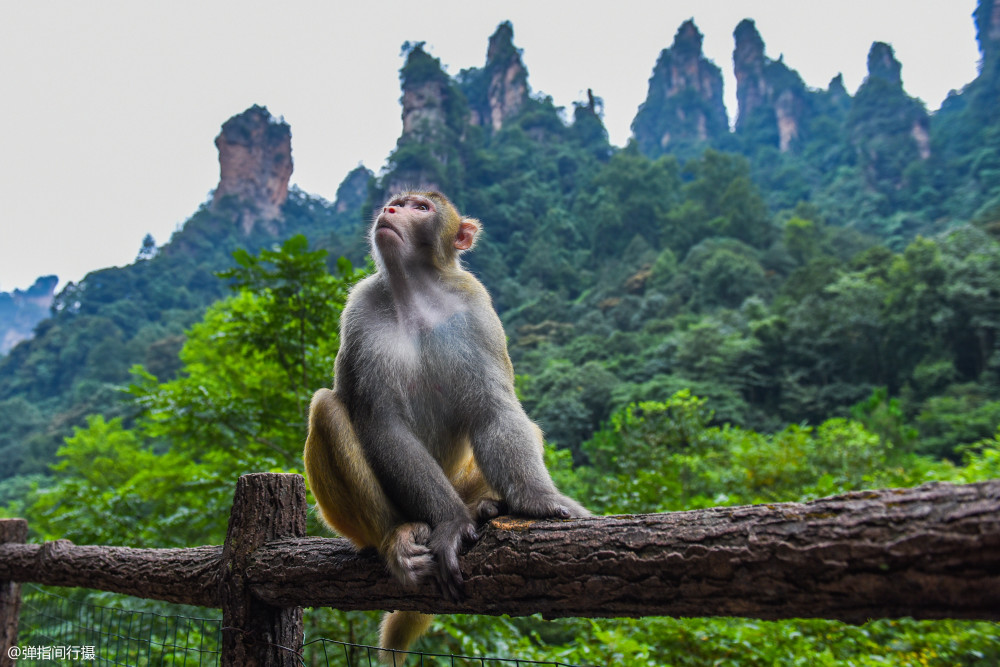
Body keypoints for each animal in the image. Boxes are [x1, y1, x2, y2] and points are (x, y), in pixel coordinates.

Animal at [304, 190, 584, 656]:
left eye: (420, 207)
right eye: (397, 202)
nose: (390, 210)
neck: (414, 294)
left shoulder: (475, 306)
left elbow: (494, 409)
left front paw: (537, 499)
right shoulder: (361, 309)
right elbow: (383, 423)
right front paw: (450, 522)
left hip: (459, 478)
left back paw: (484, 506)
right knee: (326, 408)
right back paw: (396, 538)